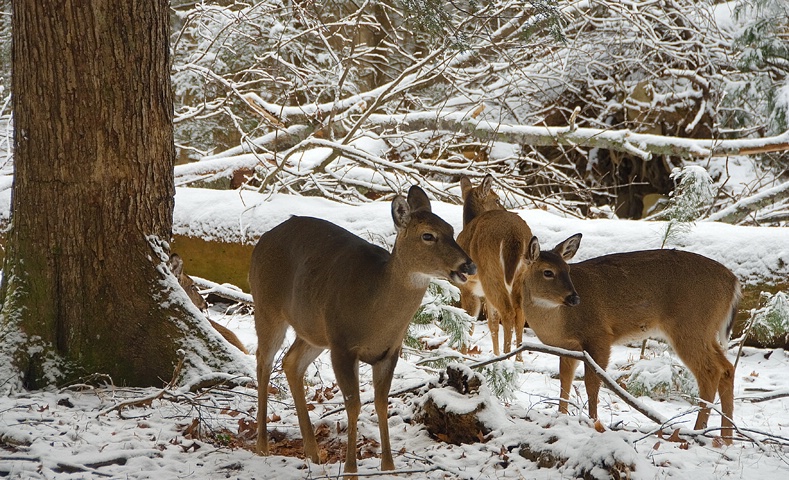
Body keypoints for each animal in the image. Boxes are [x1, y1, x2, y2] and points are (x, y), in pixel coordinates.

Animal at [249, 186, 478, 474]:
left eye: (450, 228)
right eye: (428, 235)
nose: (468, 265)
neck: (374, 315)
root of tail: (262, 240)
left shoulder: (389, 351)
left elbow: (381, 403)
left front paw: (389, 466)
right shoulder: (343, 346)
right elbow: (353, 404)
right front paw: (350, 470)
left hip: (315, 330)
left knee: (291, 363)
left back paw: (313, 453)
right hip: (267, 306)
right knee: (263, 362)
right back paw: (262, 446)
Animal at [456, 175, 536, 360]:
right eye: (497, 199)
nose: (504, 207)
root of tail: (514, 236)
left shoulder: (467, 286)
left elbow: (469, 321)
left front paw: (461, 356)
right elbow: (492, 322)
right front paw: (495, 354)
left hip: (490, 272)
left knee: (508, 312)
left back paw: (507, 356)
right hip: (522, 275)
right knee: (519, 313)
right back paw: (517, 359)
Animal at [524, 234, 740, 444]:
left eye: (568, 269)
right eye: (548, 272)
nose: (574, 298)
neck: (559, 320)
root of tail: (734, 283)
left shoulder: (599, 335)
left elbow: (592, 384)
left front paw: (594, 422)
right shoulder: (569, 348)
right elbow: (565, 383)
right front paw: (561, 417)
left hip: (690, 324)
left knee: (711, 371)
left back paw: (697, 432)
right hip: (706, 330)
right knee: (727, 368)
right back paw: (726, 438)